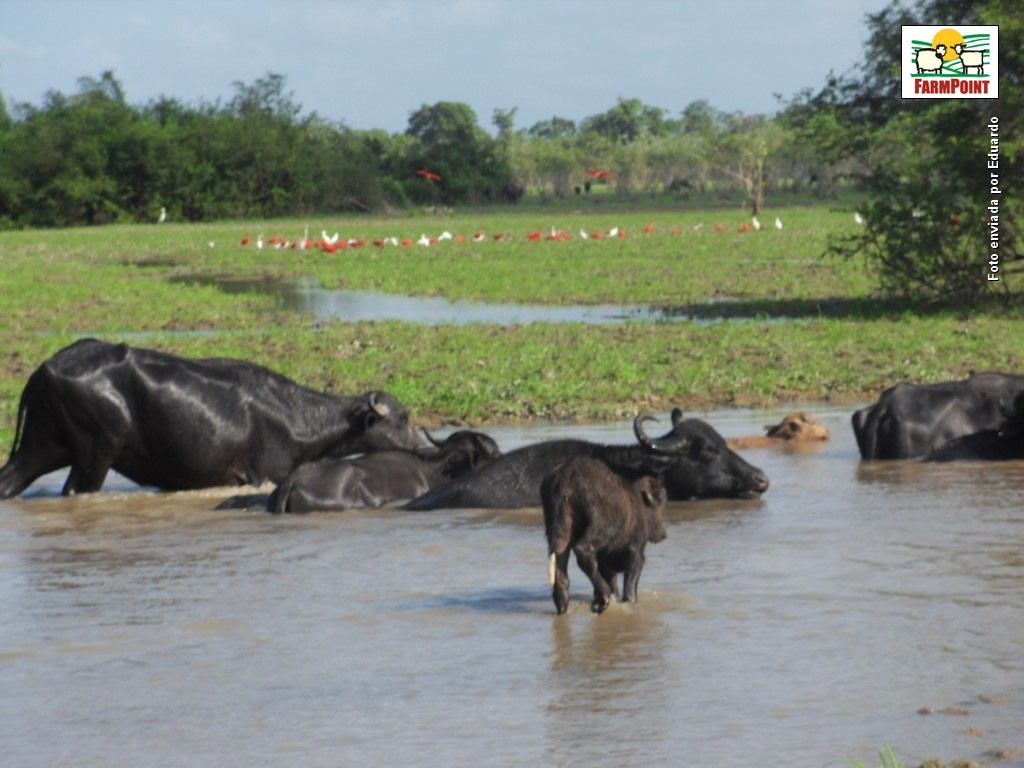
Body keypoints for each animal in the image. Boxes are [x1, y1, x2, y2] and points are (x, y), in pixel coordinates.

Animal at [0, 339, 423, 498]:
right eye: (402, 418)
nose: (420, 447)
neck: (293, 417)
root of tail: (45, 369)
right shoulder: (264, 474)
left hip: (42, 446)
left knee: (9, 481)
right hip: (94, 453)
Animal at [543, 455, 667, 615]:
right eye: (660, 502)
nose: (662, 534)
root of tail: (566, 475)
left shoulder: (606, 563)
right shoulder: (636, 553)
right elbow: (630, 587)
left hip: (560, 531)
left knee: (560, 571)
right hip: (600, 530)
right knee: (582, 551)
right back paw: (602, 599)